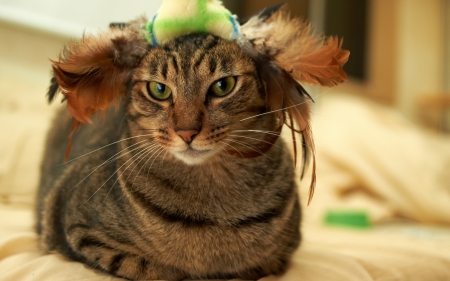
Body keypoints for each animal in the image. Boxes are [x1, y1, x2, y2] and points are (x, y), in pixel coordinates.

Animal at [37, 4, 350, 280]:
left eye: (223, 86)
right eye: (159, 89)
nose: (187, 132)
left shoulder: (281, 257)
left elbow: (257, 266)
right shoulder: (74, 226)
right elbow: (149, 267)